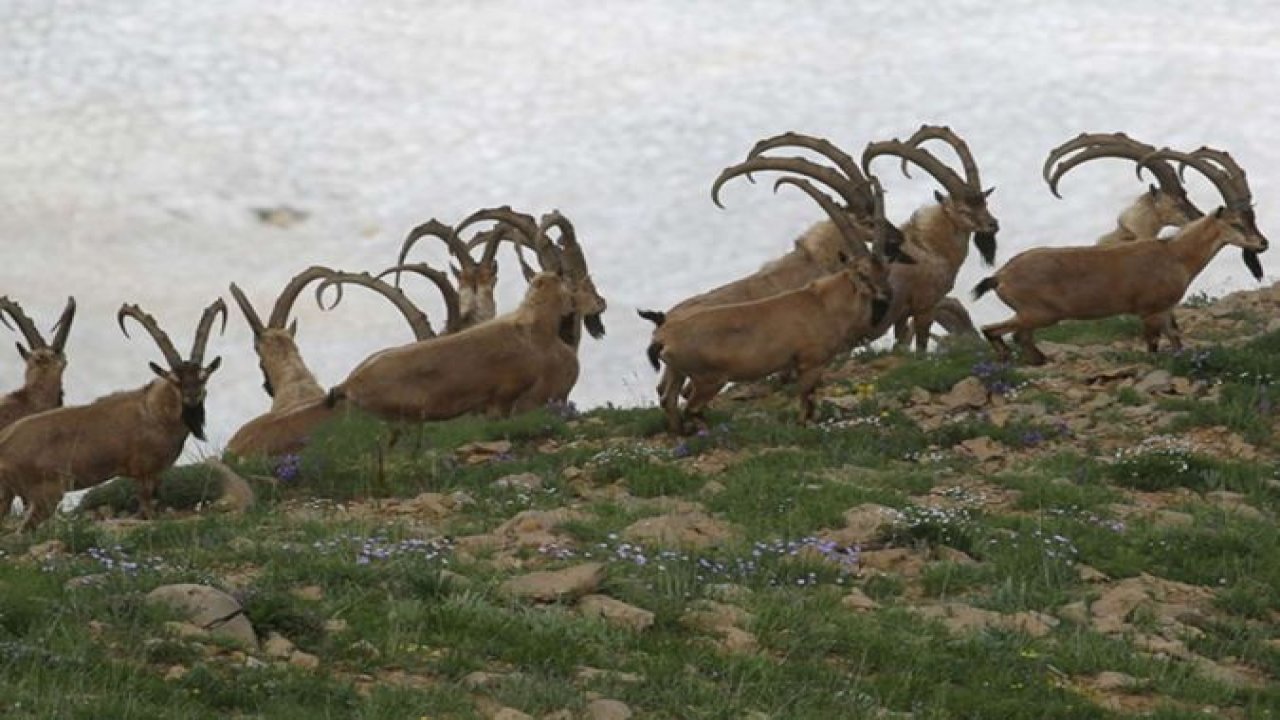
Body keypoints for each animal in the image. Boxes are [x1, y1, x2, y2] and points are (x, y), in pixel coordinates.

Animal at [0, 295, 225, 527]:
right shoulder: (144, 473)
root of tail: (4, 445)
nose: (193, 397)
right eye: (176, 381)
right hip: (44, 495)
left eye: (203, 377)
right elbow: (147, 510)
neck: (154, 413)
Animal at [650, 178, 890, 430]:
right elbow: (806, 403)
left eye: (885, 269)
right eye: (862, 274)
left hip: (679, 373)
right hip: (709, 379)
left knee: (668, 397)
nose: (885, 296)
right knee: (691, 407)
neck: (824, 303)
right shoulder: (810, 362)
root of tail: (662, 334)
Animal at [860, 124, 998, 351]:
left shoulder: (902, 314)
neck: (930, 248)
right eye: (963, 210)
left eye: (984, 203)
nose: (993, 225)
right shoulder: (925, 306)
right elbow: (921, 345)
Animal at [972, 149, 1264, 366]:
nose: (1263, 243)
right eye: (1236, 223)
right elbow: (1153, 346)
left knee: (1017, 336)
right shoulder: (1150, 312)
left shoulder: (1166, 311)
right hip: (1039, 313)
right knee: (995, 330)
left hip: (1032, 316)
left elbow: (1176, 339)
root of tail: (1000, 276)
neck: (1174, 254)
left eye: (1252, 218)